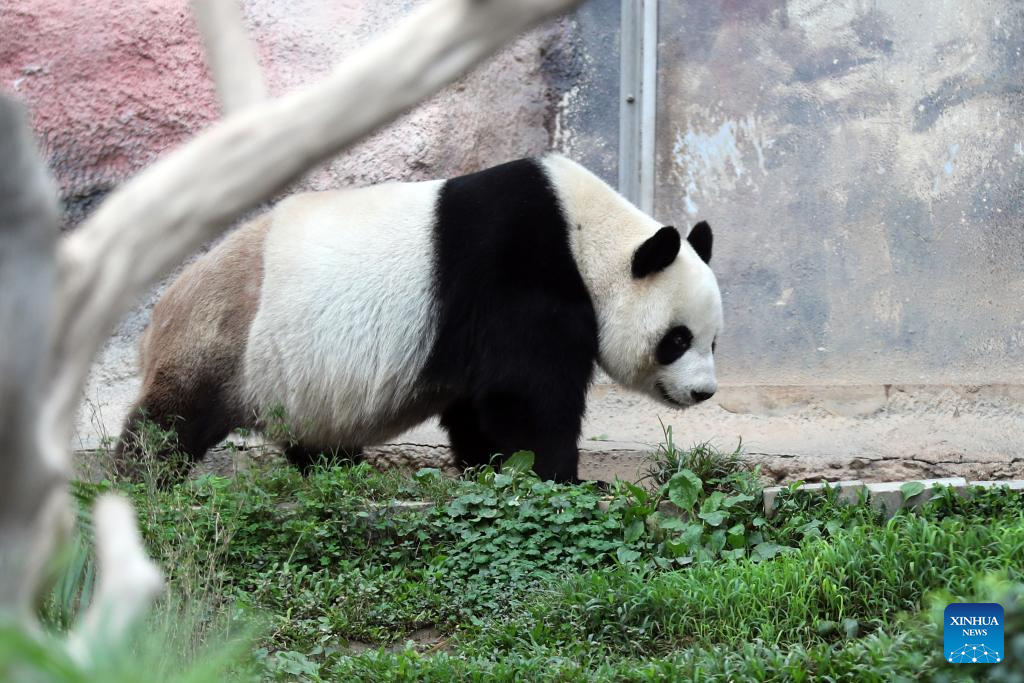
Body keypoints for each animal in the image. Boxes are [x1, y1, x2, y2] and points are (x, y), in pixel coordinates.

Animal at [116, 155, 724, 483]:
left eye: (714, 341)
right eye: (676, 339)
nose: (703, 393)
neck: (586, 237)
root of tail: (155, 319)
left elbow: (479, 408)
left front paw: (492, 471)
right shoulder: (517, 274)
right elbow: (526, 397)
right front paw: (558, 478)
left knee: (316, 439)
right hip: (227, 339)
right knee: (171, 422)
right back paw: (140, 482)